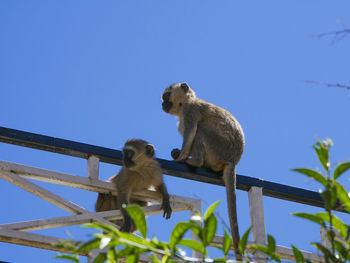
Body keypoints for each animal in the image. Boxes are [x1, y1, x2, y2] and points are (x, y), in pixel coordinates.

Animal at [161, 84, 243, 260]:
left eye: (166, 96)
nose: (162, 103)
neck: (185, 104)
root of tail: (233, 160)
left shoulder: (190, 112)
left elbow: (191, 133)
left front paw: (180, 158)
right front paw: (178, 154)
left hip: (218, 147)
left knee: (200, 130)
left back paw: (195, 161)